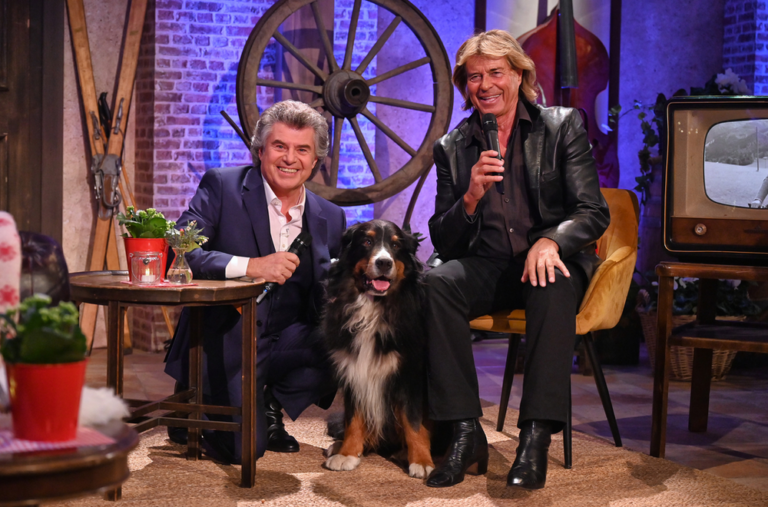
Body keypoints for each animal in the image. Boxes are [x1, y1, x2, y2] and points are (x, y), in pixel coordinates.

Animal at [321, 219, 434, 479]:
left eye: (395, 245)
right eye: (367, 241)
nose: (384, 262)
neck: (373, 309)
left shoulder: (409, 376)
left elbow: (414, 422)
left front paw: (422, 461)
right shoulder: (354, 371)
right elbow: (354, 419)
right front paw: (348, 453)